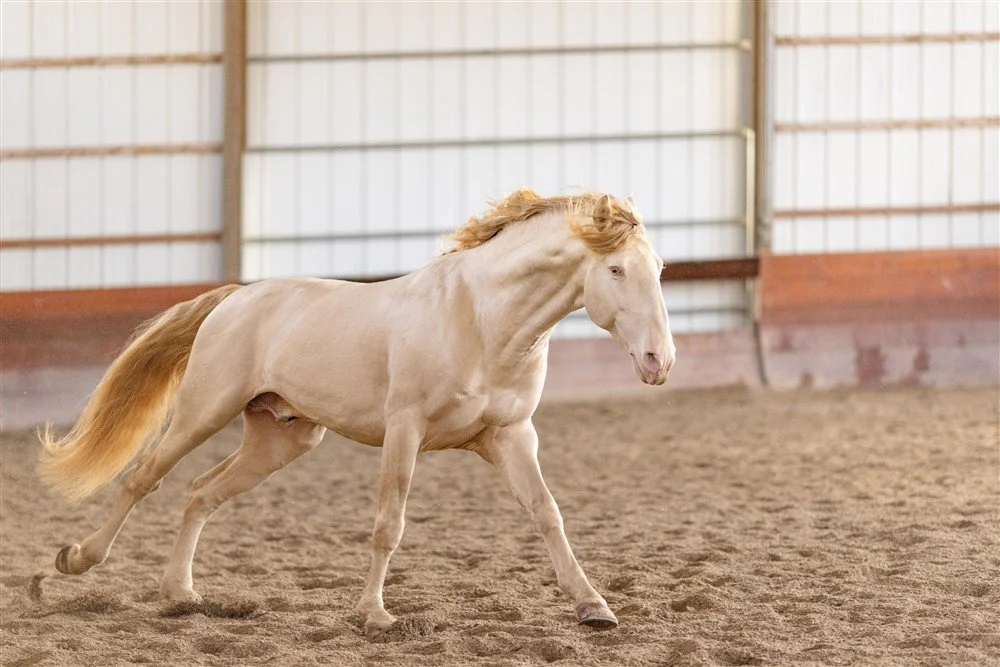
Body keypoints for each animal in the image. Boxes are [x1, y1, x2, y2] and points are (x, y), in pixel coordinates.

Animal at [38, 188, 675, 637]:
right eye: (615, 269)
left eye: (661, 269)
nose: (659, 361)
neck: (480, 321)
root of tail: (234, 299)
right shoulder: (405, 431)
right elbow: (388, 525)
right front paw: (374, 615)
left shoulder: (511, 436)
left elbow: (548, 513)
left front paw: (593, 605)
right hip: (201, 413)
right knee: (144, 478)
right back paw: (76, 560)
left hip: (280, 440)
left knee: (201, 491)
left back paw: (180, 594)